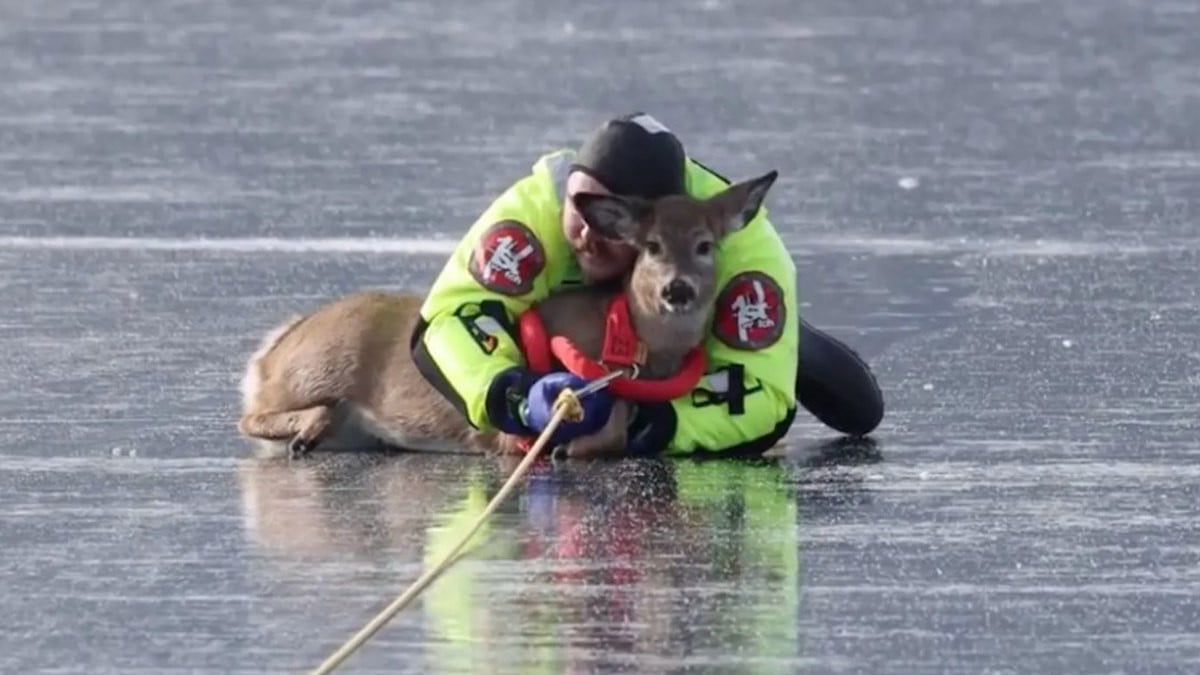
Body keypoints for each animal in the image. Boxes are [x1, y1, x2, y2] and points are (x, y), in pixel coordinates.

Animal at [236, 169, 779, 460]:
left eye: (705, 245)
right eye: (651, 245)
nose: (677, 288)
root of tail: (272, 348)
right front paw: (564, 444)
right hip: (316, 367)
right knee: (252, 414)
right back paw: (306, 429)